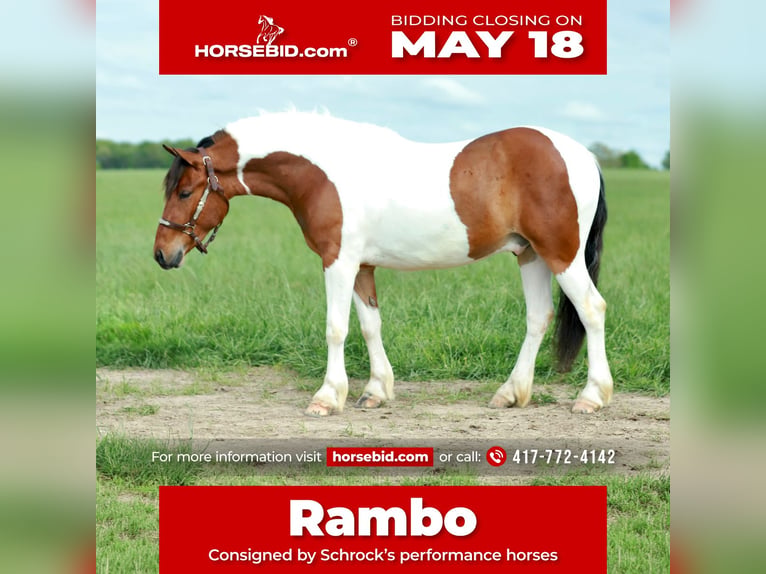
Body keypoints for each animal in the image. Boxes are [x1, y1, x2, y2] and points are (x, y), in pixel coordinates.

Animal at [153, 112, 613, 417]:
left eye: (184, 191)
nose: (162, 254)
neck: (325, 172)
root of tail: (584, 157)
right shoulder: (362, 267)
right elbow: (370, 325)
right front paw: (375, 390)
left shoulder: (338, 262)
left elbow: (336, 328)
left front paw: (327, 397)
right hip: (530, 253)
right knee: (539, 317)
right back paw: (511, 393)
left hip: (561, 254)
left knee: (592, 310)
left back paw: (591, 397)